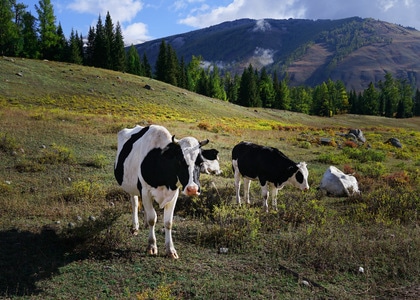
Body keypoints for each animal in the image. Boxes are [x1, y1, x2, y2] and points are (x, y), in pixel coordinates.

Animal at [114, 124, 209, 258]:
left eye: (200, 162)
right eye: (179, 161)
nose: (192, 189)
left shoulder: (174, 193)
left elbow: (168, 222)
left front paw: (171, 250)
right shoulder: (145, 191)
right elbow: (152, 218)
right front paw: (151, 246)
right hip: (131, 187)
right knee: (135, 204)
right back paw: (135, 227)